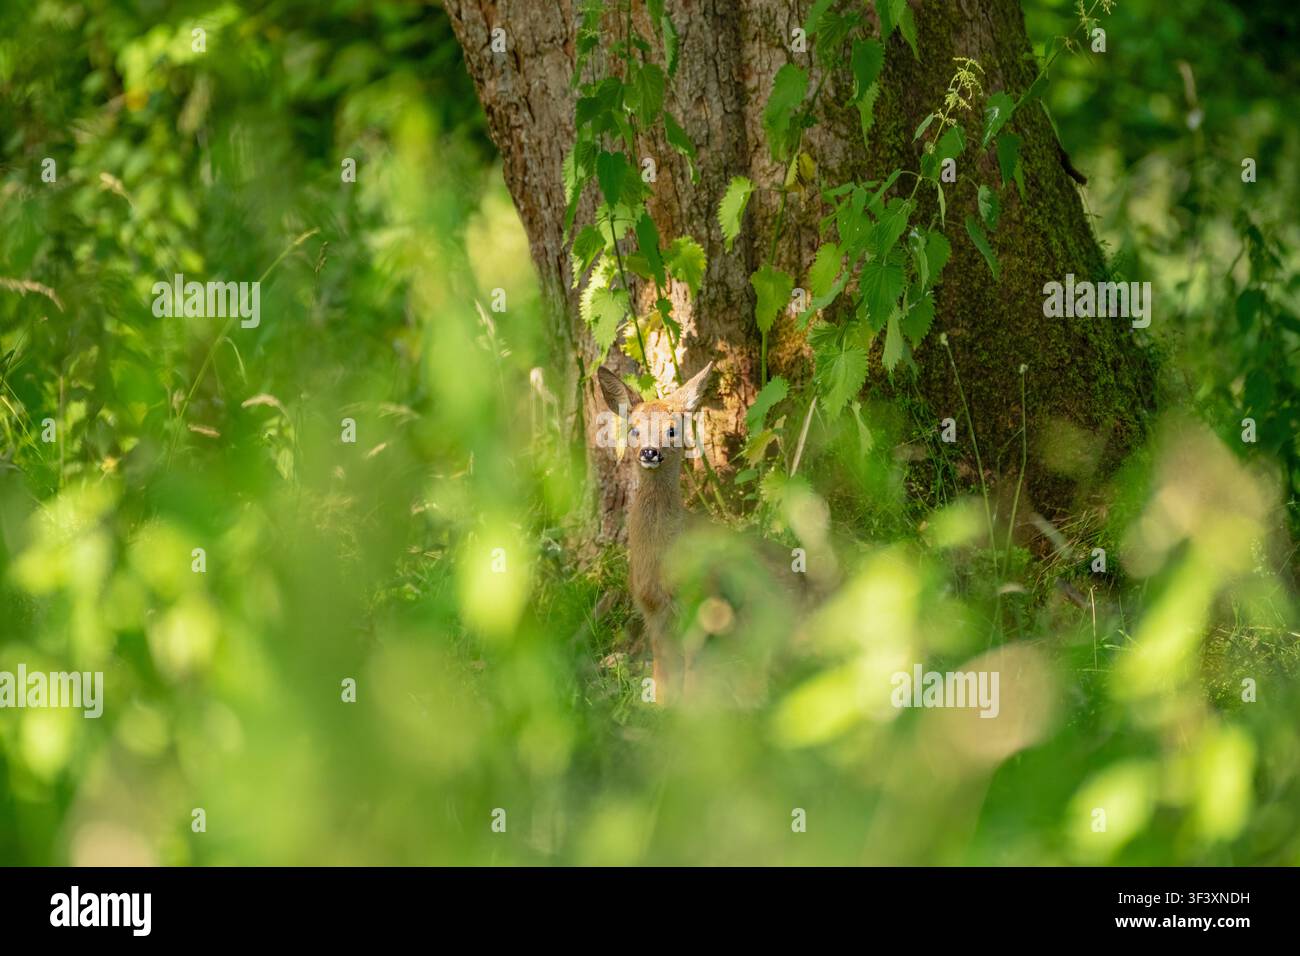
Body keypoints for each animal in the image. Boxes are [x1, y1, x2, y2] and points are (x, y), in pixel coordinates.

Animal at [597, 361, 714, 705]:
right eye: (634, 429)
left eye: (672, 430)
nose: (650, 452)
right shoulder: (649, 605)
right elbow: (662, 662)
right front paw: (660, 704)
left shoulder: (697, 597)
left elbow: (692, 663)